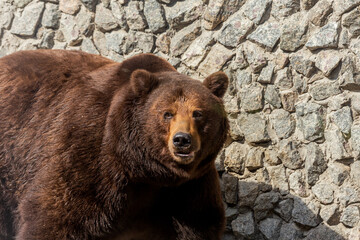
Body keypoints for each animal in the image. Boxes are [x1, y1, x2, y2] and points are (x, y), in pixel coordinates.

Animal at [0, 49, 229, 239]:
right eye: (167, 113)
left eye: (198, 113)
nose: (182, 140)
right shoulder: (89, 155)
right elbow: (55, 216)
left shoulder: (189, 189)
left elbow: (198, 224)